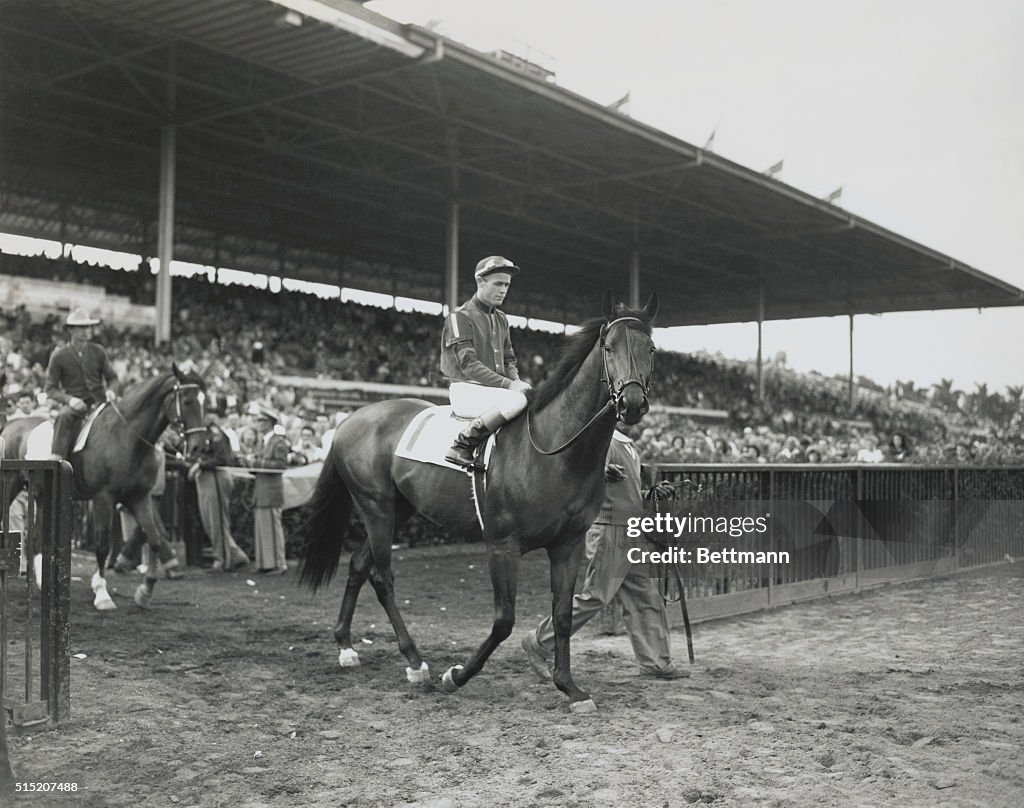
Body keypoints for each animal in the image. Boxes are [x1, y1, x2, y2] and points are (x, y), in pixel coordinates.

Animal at [1, 364, 205, 606]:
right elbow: (103, 544)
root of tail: (10, 425)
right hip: (11, 485)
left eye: (203, 401)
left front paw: (145, 591)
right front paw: (101, 593)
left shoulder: (139, 497)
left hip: (42, 495)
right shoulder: (103, 498)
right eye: (187, 400)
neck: (125, 438)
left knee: (36, 536)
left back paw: (42, 583)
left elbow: (154, 538)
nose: (199, 447)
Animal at [299, 292, 659, 708]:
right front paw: (456, 675)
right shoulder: (502, 545)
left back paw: (345, 644)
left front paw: (570, 686)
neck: (554, 450)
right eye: (608, 347)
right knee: (381, 576)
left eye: (650, 349)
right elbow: (504, 621)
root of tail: (351, 418)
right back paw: (415, 661)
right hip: (376, 507)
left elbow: (563, 615)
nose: (632, 403)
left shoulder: (568, 545)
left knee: (359, 566)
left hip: (399, 508)